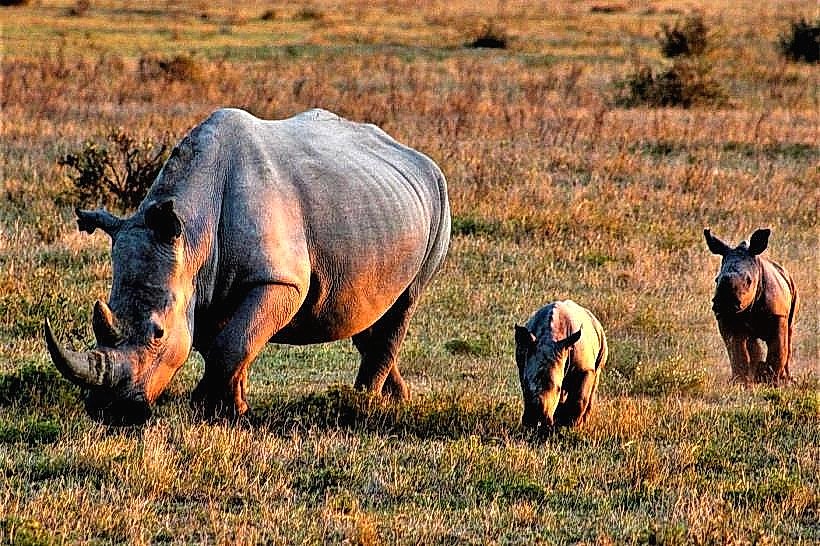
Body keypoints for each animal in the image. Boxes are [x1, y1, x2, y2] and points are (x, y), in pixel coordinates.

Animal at [45, 108, 451, 425]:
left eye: (158, 333)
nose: (111, 411)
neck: (192, 234)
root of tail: (420, 158)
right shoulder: (202, 286)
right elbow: (229, 343)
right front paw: (233, 407)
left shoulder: (279, 281)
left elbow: (233, 343)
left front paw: (207, 407)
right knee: (367, 314)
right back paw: (396, 399)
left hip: (439, 200)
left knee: (404, 303)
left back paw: (362, 405)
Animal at [514, 300, 607, 430]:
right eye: (526, 385)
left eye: (557, 388)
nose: (537, 419)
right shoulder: (523, 365)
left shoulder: (585, 369)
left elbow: (579, 398)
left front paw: (572, 427)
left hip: (600, 339)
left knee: (594, 380)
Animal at [704, 228, 798, 384]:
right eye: (716, 280)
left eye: (749, 281)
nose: (724, 303)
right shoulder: (726, 319)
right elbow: (737, 350)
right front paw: (740, 382)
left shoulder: (778, 315)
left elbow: (778, 348)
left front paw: (772, 382)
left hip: (793, 288)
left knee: (789, 334)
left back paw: (785, 378)